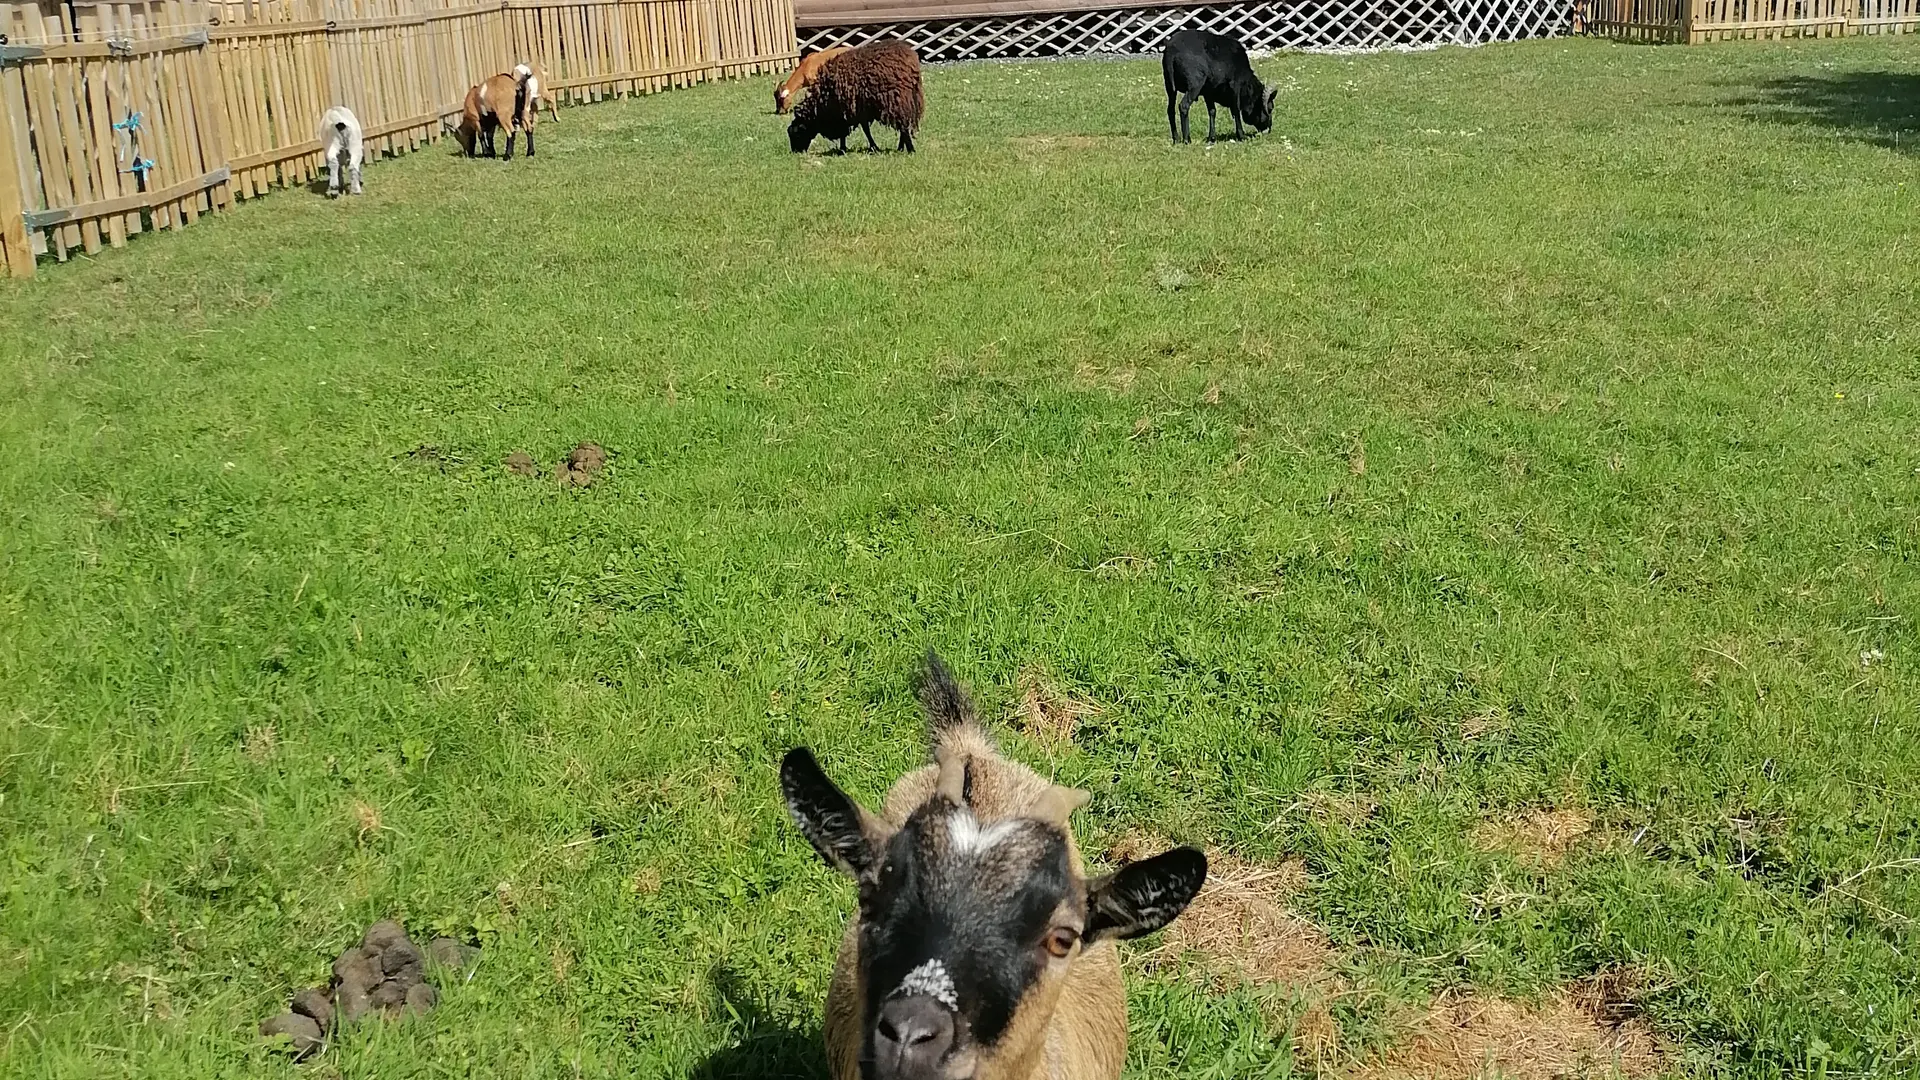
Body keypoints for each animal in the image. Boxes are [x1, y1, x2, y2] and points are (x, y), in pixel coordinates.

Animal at [787, 37, 921, 153]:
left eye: (796, 134)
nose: (795, 152)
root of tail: (909, 57)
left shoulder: (845, 110)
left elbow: (857, 131)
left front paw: (845, 149)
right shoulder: (858, 110)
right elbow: (863, 129)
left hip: (896, 99)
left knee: (903, 125)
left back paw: (910, 149)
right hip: (909, 97)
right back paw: (901, 147)